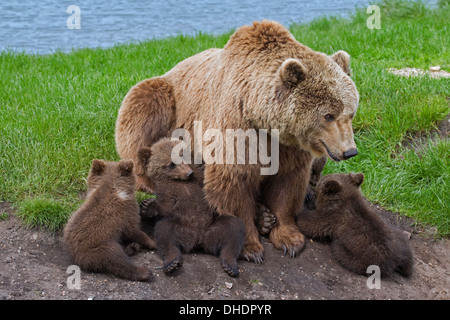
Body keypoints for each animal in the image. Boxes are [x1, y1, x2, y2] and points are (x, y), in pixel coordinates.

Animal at [115, 19, 358, 262]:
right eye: (328, 115)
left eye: (351, 112)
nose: (349, 151)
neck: (262, 117)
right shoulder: (237, 128)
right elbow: (234, 181)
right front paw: (250, 247)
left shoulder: (287, 146)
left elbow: (287, 183)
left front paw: (289, 239)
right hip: (165, 97)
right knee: (142, 113)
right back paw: (148, 180)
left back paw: (269, 215)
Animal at [136, 139, 244, 276]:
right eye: (171, 164)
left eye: (182, 155)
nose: (188, 173)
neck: (179, 181)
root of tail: (199, 239)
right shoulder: (165, 190)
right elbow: (167, 207)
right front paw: (148, 205)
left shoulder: (198, 179)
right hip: (180, 228)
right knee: (165, 232)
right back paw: (171, 262)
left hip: (215, 226)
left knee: (233, 229)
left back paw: (230, 264)